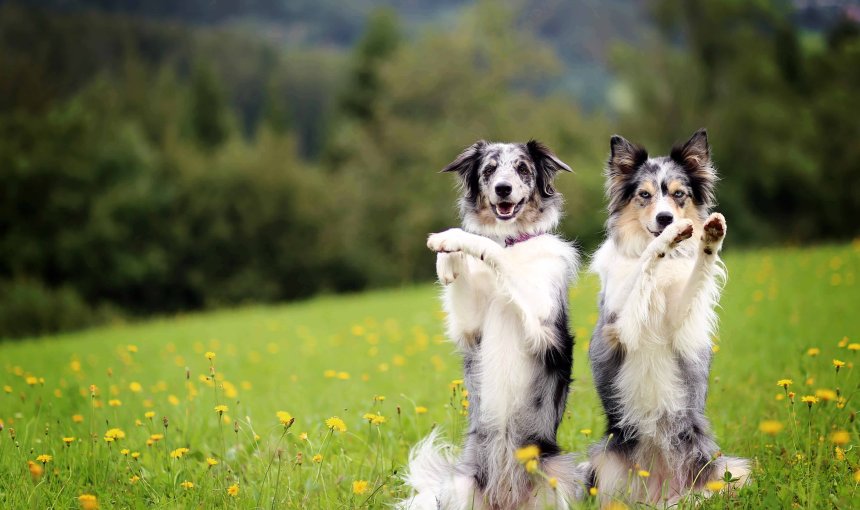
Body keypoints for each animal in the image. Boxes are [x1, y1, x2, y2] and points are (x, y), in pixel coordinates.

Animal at [400, 139, 588, 510]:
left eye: (522, 168)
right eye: (489, 170)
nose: (503, 189)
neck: (512, 240)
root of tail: (505, 498)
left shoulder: (541, 322)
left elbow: (490, 248)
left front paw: (453, 238)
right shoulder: (471, 326)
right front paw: (447, 261)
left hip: (556, 480)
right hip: (463, 487)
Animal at [588, 129, 748, 504]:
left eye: (679, 194)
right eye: (644, 195)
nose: (666, 219)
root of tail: (660, 493)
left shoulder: (679, 320)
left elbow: (696, 275)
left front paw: (710, 237)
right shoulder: (621, 326)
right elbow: (645, 262)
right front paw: (664, 240)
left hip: (724, 469)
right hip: (601, 462)